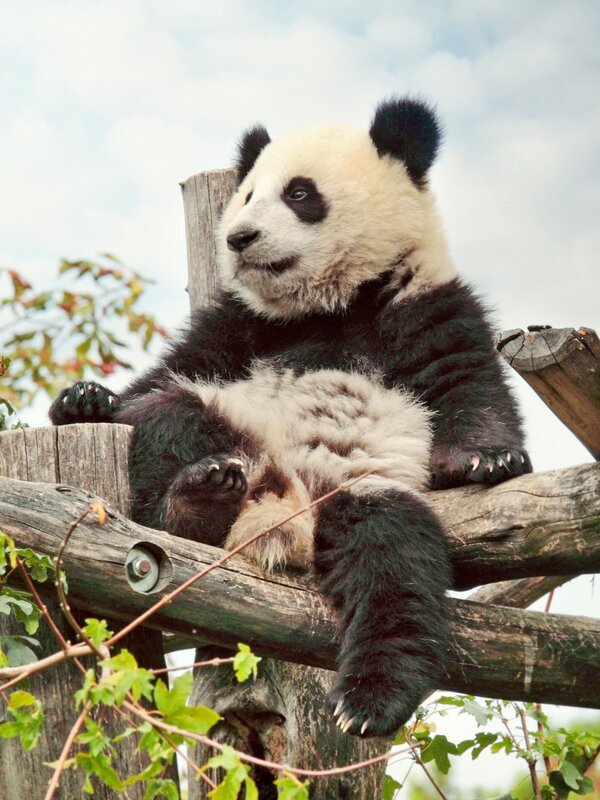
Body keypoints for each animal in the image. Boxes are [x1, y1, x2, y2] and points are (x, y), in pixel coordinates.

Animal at [50, 97, 532, 738]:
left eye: (300, 193)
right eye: (248, 195)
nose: (239, 237)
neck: (330, 304)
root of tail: (285, 507)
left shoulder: (423, 297)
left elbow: (465, 378)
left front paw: (490, 457)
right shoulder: (238, 324)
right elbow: (169, 372)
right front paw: (84, 399)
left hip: (360, 492)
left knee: (394, 563)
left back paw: (370, 699)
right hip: (225, 425)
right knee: (170, 417)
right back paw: (199, 497)